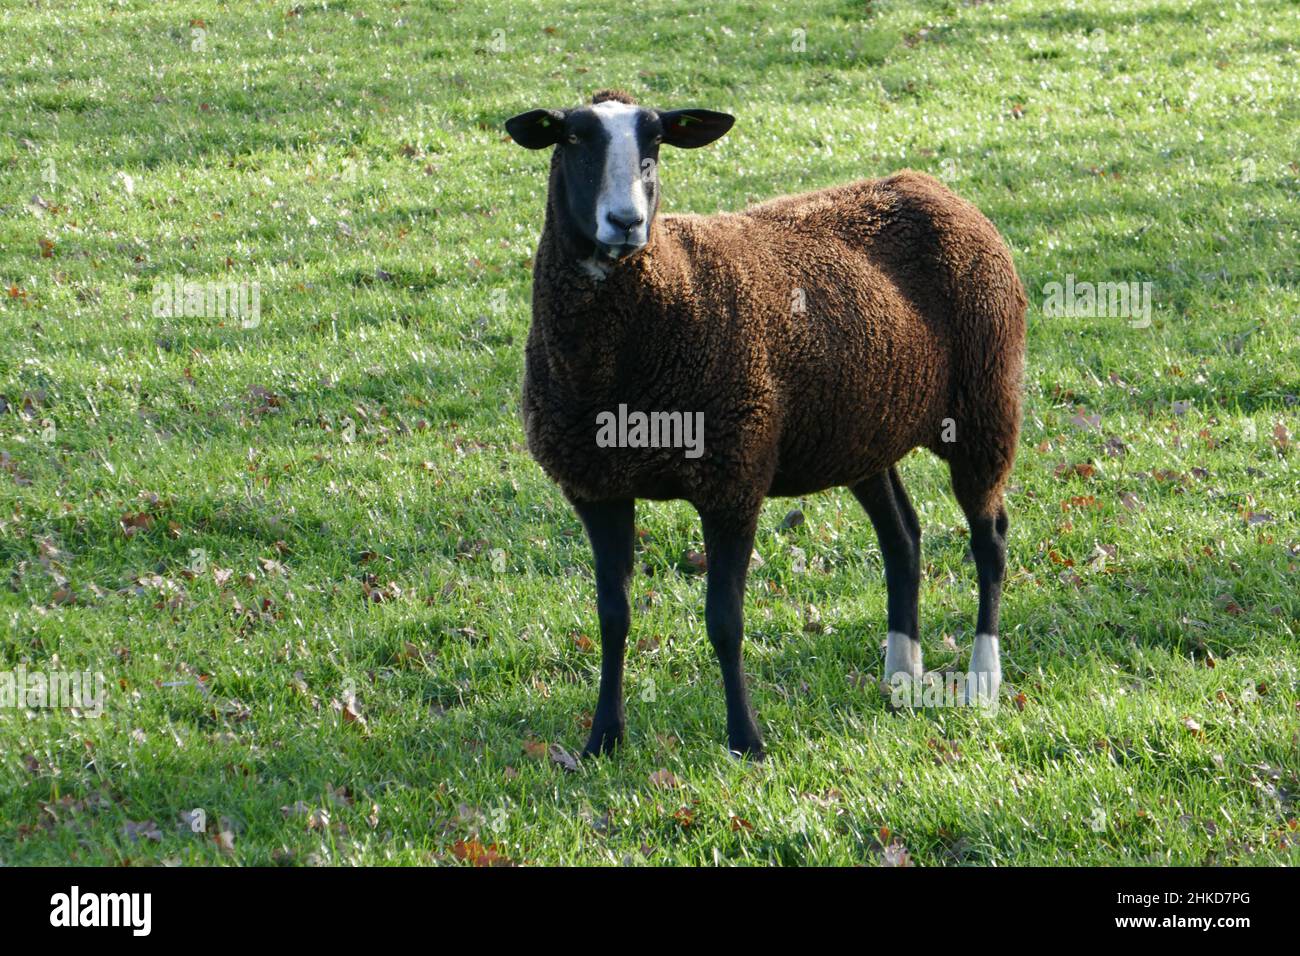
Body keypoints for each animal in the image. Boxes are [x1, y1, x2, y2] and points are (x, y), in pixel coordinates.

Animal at [504, 91, 1024, 764]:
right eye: (571, 140)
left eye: (655, 144)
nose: (626, 222)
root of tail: (934, 187)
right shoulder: (597, 489)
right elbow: (612, 618)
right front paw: (603, 740)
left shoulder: (734, 476)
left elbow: (725, 621)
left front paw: (745, 740)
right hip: (862, 430)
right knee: (903, 537)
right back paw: (900, 677)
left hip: (986, 406)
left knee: (990, 538)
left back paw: (984, 677)